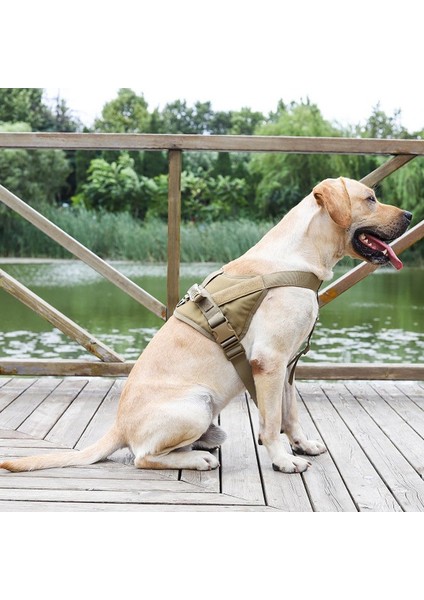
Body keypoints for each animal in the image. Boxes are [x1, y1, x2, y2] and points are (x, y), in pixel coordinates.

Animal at [0, 177, 410, 474]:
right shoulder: (270, 362)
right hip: (196, 404)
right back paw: (198, 458)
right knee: (143, 456)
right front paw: (283, 460)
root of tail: (118, 427)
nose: (408, 215)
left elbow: (291, 413)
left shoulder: (289, 366)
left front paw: (302, 444)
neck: (299, 258)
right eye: (371, 198)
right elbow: (271, 422)